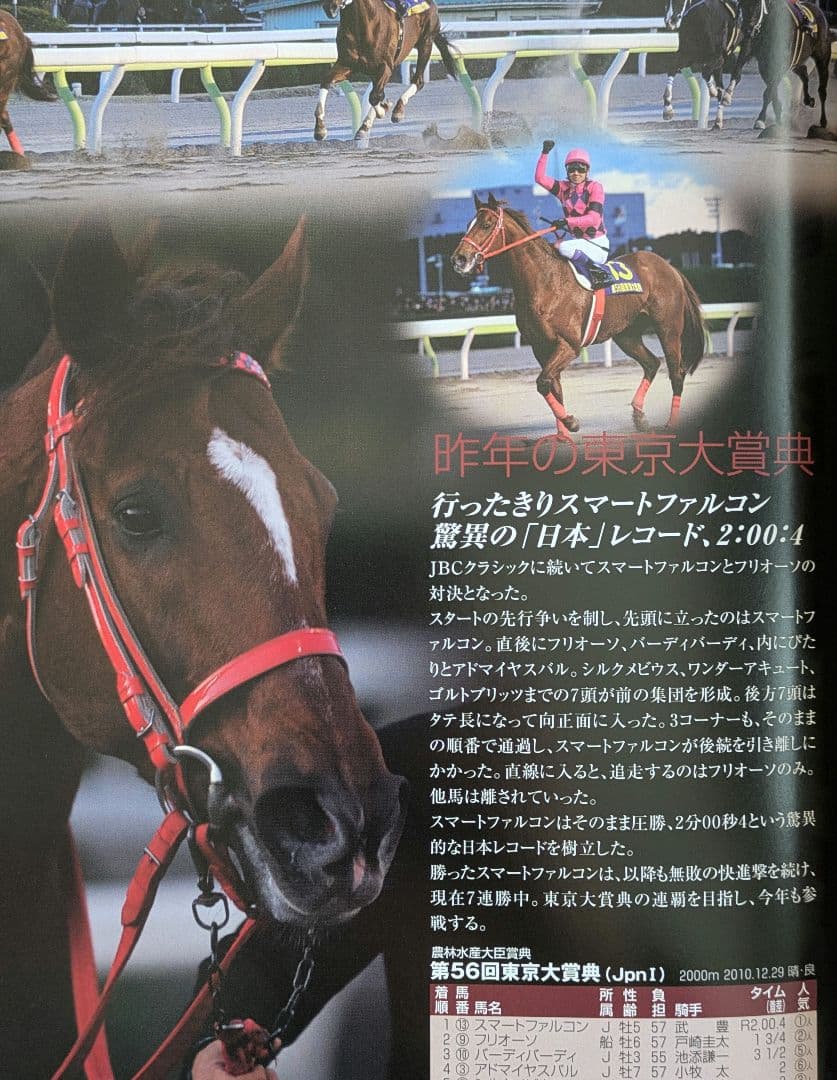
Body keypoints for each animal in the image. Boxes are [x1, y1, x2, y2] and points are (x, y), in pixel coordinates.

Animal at [316, 0, 460, 141]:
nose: (330, 7)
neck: (364, 23)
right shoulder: (347, 64)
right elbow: (326, 81)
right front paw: (320, 128)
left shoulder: (386, 67)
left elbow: (374, 97)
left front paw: (383, 110)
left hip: (426, 43)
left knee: (418, 81)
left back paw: (397, 111)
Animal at [451, 194, 706, 440]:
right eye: (468, 224)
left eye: (486, 224)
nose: (459, 259)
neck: (545, 282)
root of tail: (669, 267)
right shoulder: (541, 347)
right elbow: (553, 387)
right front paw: (562, 434)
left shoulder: (569, 345)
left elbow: (542, 383)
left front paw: (571, 422)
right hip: (627, 335)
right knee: (652, 363)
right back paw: (639, 416)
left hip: (668, 329)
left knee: (676, 373)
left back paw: (670, 424)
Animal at [663, 0, 747, 129]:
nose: (670, 21)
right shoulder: (688, 53)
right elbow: (672, 66)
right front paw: (667, 110)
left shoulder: (717, 57)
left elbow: (706, 72)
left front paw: (713, 91)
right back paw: (718, 121)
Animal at [738, 0, 831, 129]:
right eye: (742, 4)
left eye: (757, 5)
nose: (747, 30)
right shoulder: (764, 64)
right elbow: (771, 90)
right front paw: (778, 113)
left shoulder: (780, 65)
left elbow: (768, 92)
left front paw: (760, 119)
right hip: (797, 61)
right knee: (803, 72)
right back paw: (808, 100)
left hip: (822, 57)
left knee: (822, 90)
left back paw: (823, 121)